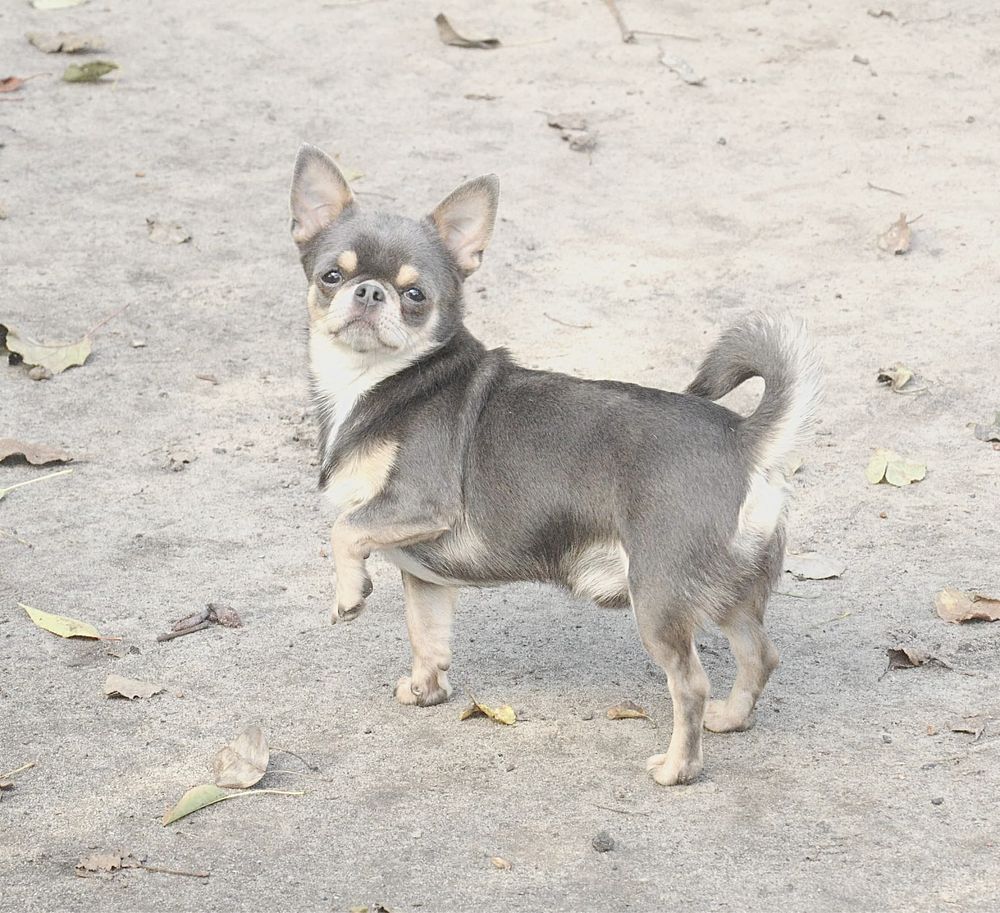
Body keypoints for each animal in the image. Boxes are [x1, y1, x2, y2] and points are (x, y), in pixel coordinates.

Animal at [288, 144, 820, 784]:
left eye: (416, 296)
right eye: (331, 276)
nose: (370, 292)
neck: (372, 383)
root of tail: (743, 439)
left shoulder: (418, 505)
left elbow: (344, 531)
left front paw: (348, 594)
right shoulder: (425, 576)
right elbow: (427, 635)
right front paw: (426, 689)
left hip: (658, 596)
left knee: (690, 684)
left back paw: (677, 767)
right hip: (732, 592)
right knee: (760, 654)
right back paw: (732, 718)